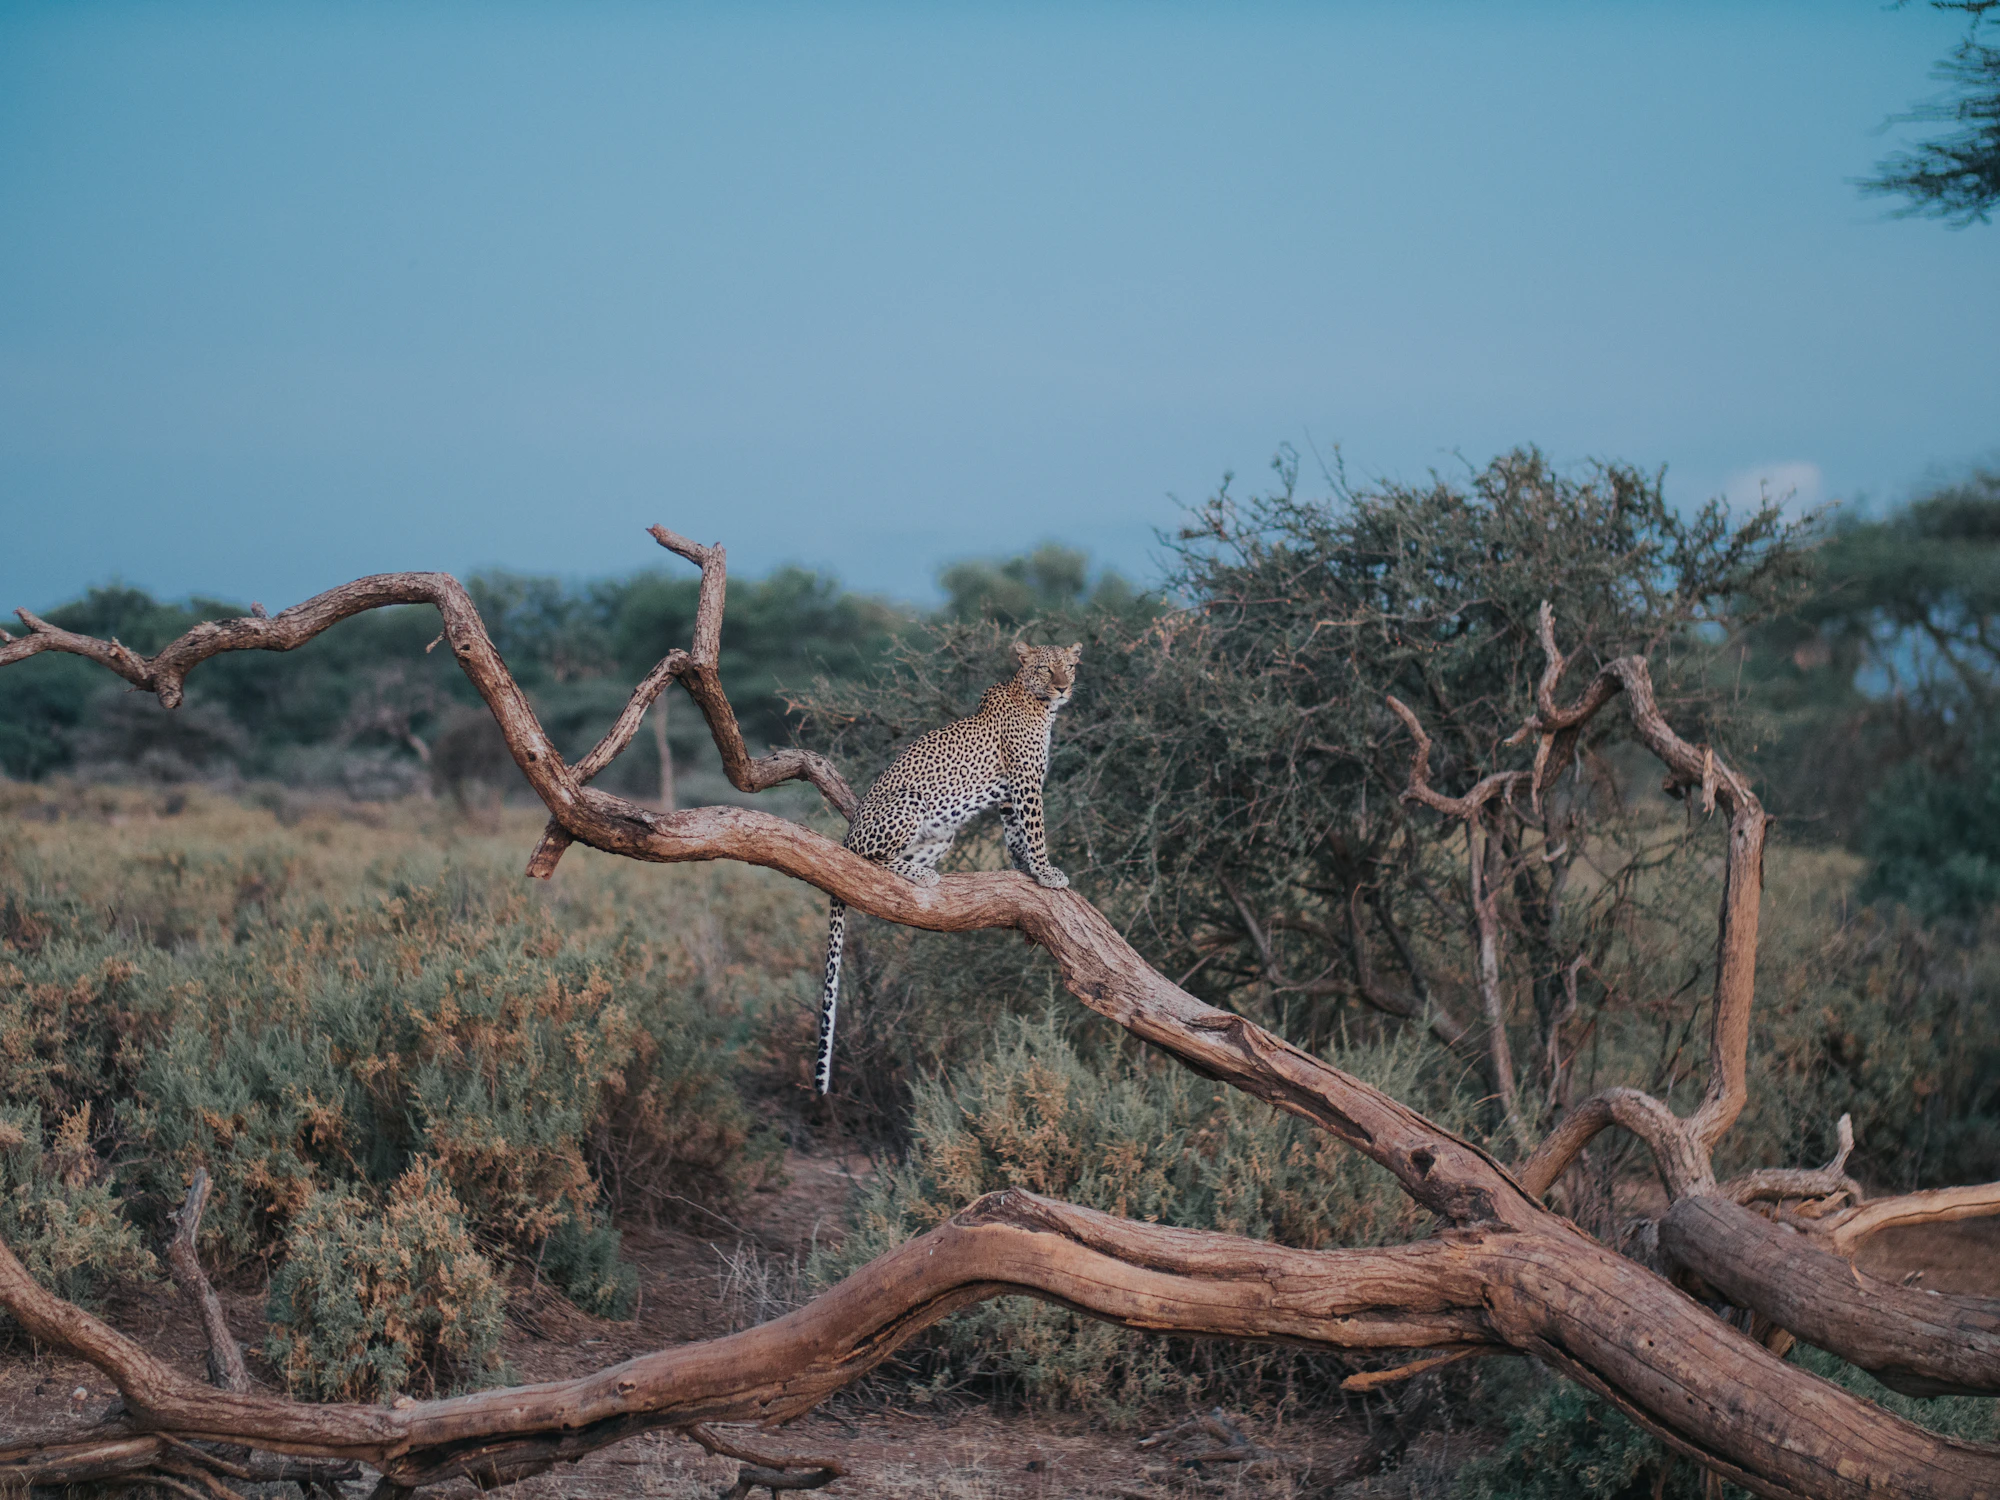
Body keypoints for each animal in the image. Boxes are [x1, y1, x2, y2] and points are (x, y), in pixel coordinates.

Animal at [814, 641, 1082, 1094]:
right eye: (1047, 669)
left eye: (1069, 666)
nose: (1063, 688)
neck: (1040, 706)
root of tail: (848, 833)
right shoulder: (1026, 784)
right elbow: (1036, 830)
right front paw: (1047, 873)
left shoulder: (1009, 795)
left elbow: (1016, 835)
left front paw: (1025, 869)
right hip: (909, 803)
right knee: (869, 861)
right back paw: (920, 875)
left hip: (942, 834)